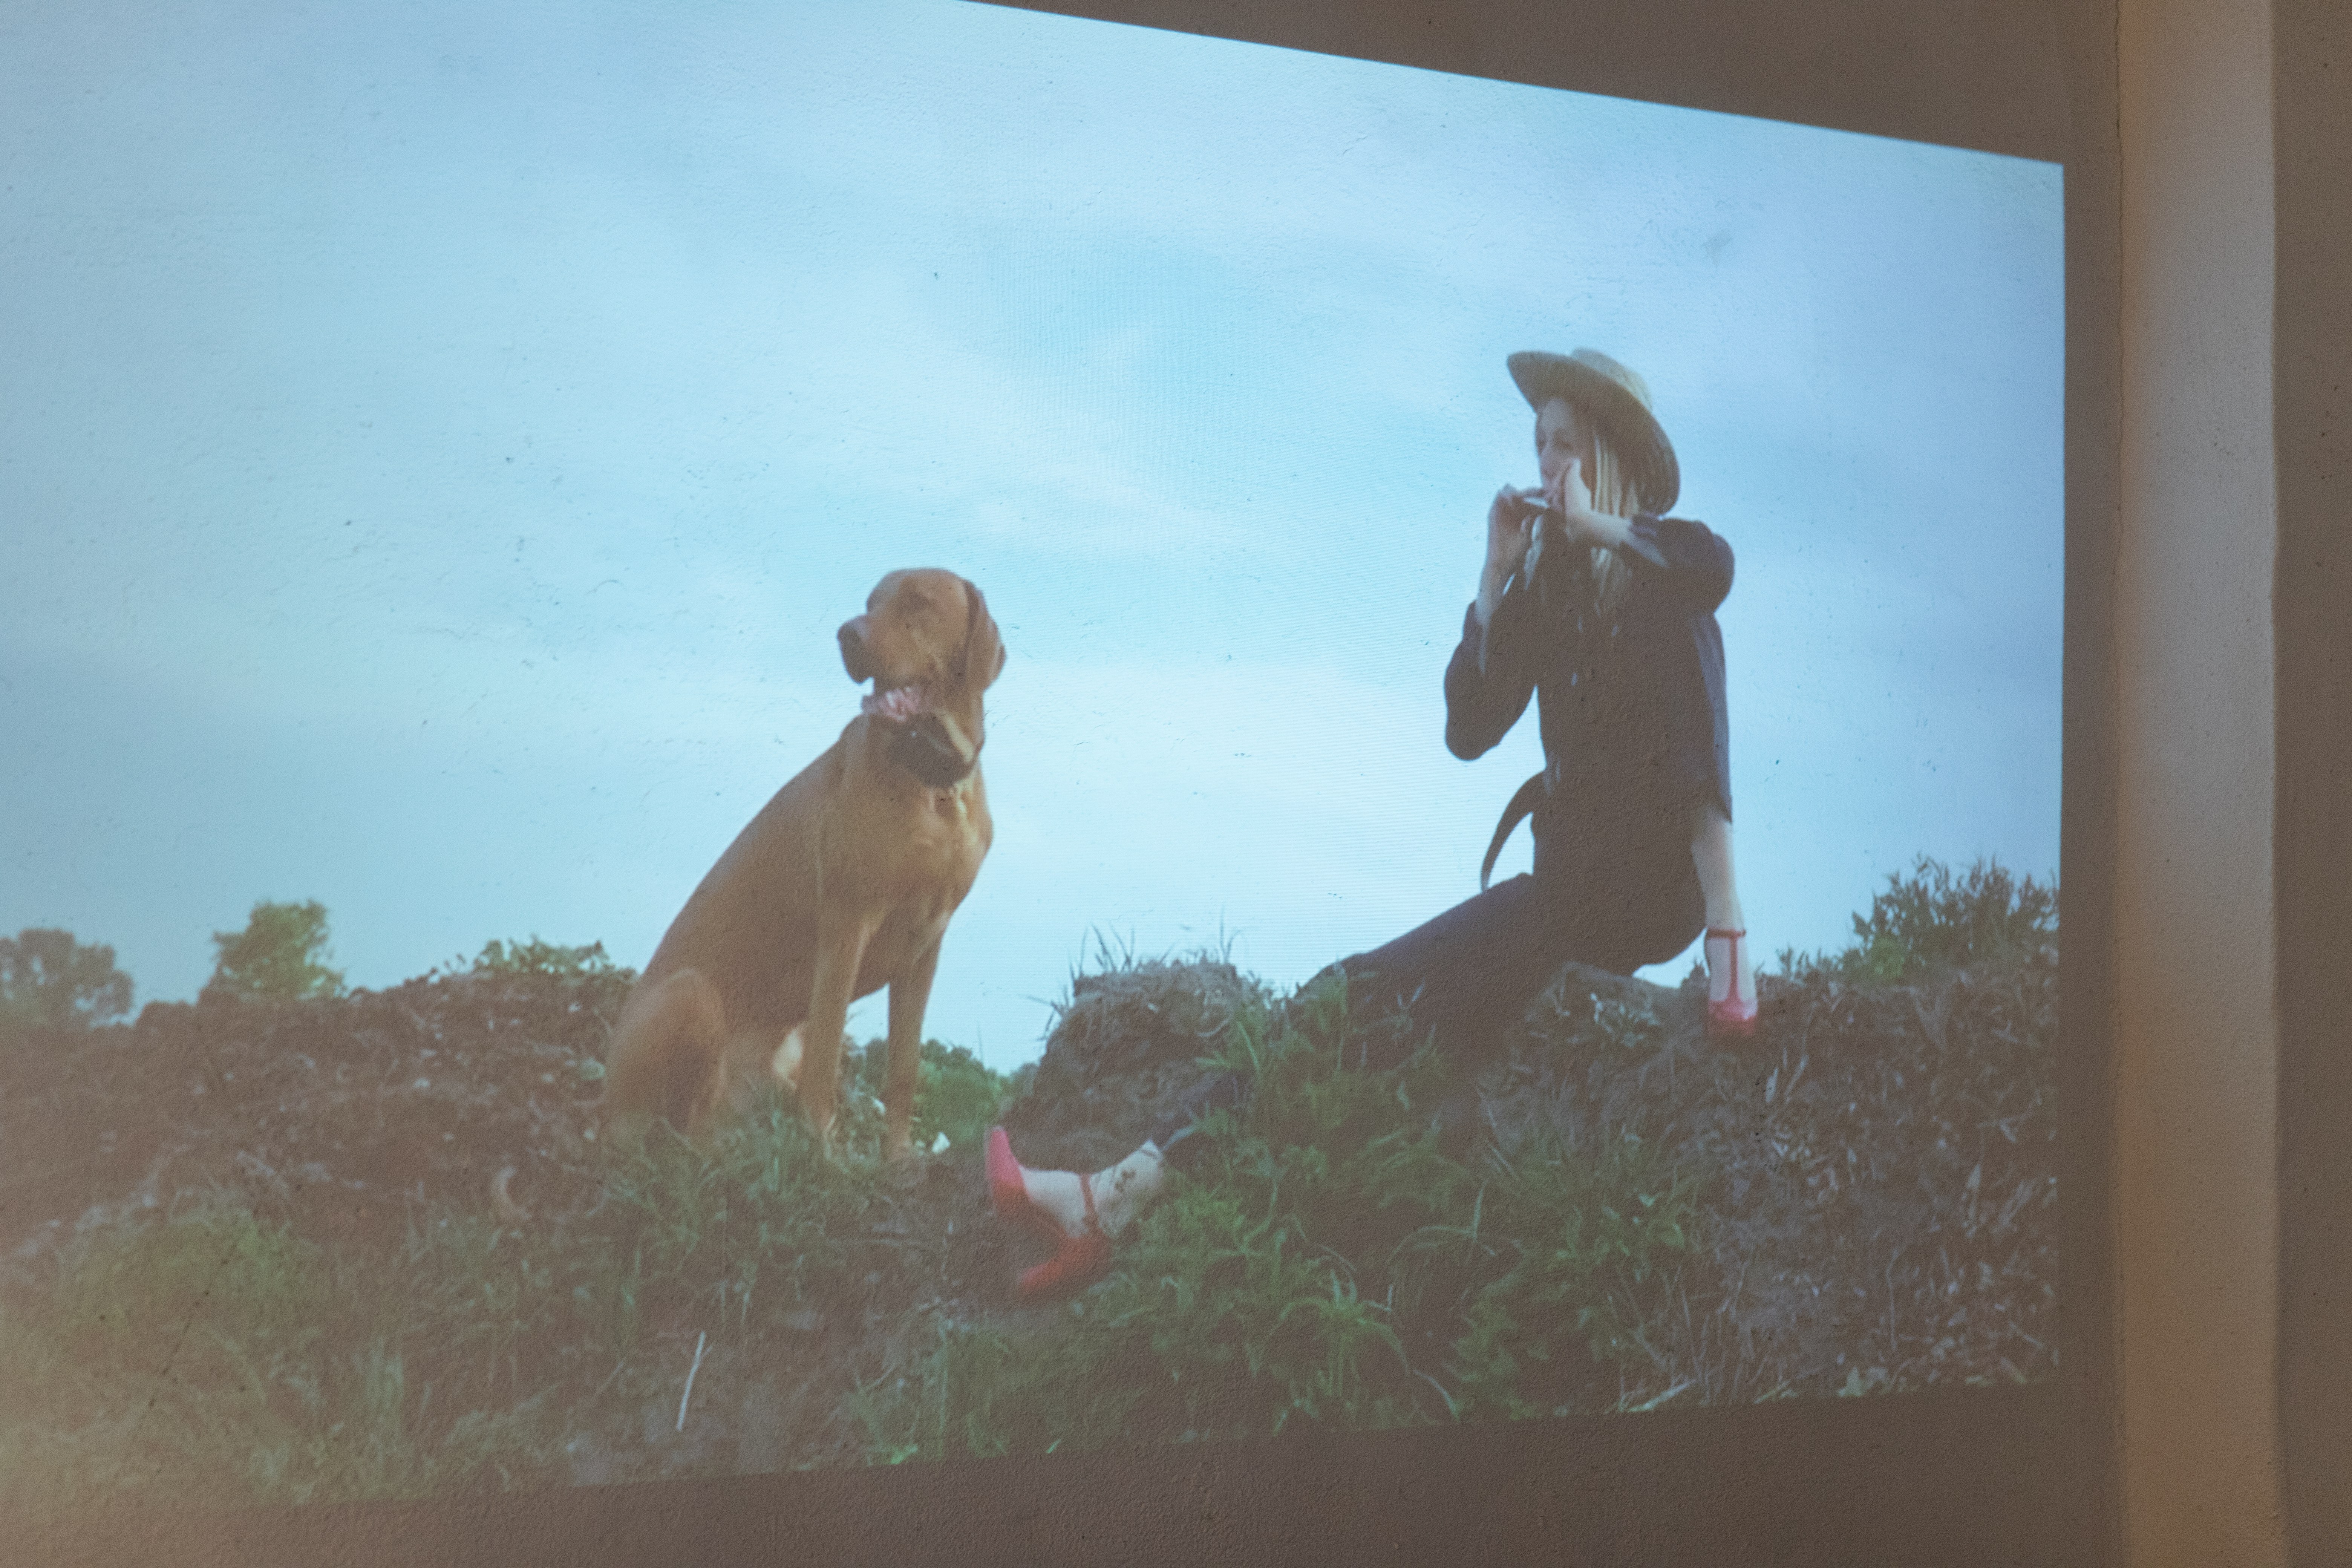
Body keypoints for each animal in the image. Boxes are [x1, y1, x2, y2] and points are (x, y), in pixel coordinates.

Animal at [597, 571, 1002, 1161]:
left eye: (919, 601)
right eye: (871, 603)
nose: (846, 635)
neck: (933, 781)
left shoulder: (926, 945)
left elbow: (903, 1069)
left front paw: (897, 1157)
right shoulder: (846, 927)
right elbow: (825, 1065)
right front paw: (824, 1157)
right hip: (691, 997)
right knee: (671, 1139)